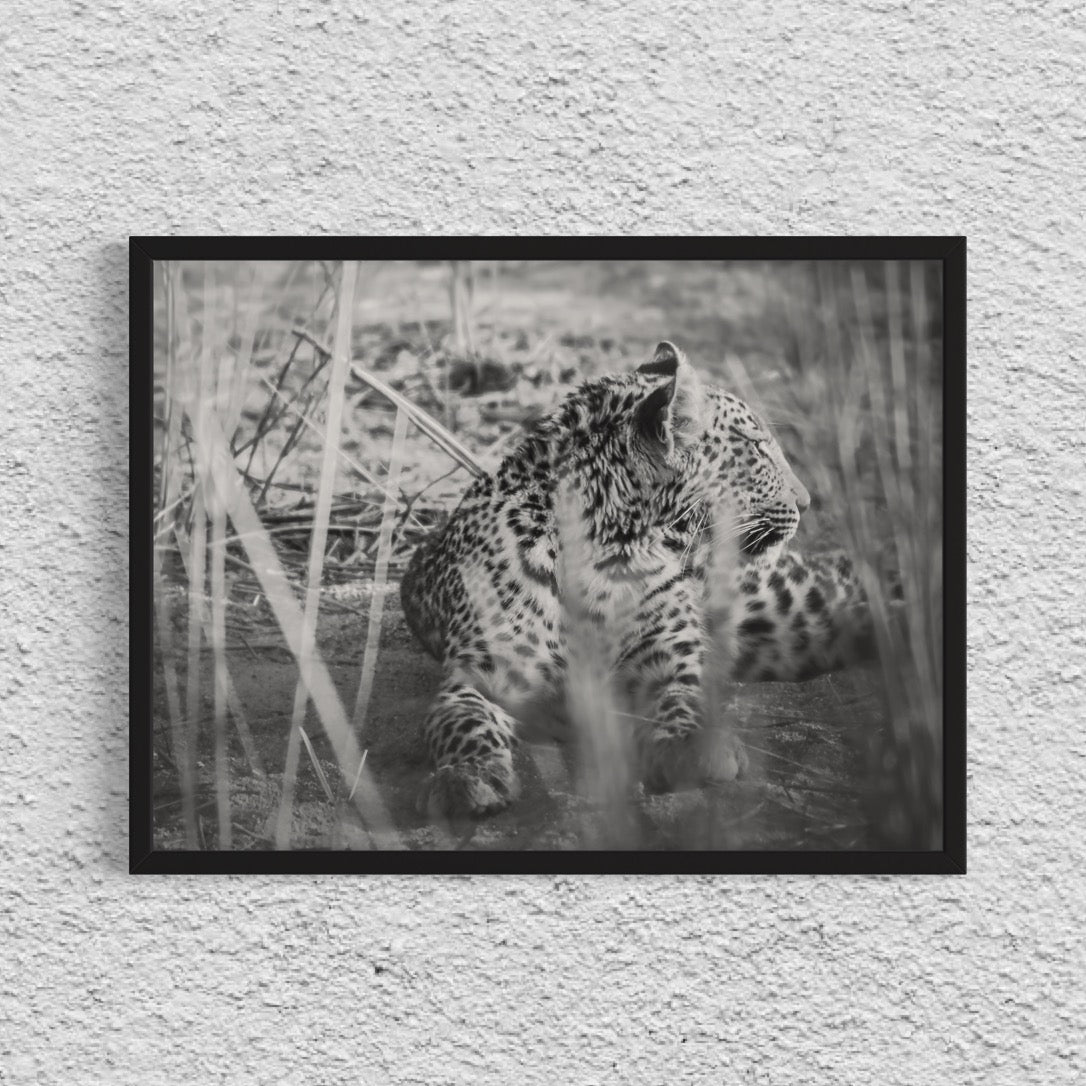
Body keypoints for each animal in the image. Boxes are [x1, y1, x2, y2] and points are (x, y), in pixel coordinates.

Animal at [401, 341, 875, 819]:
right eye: (758, 447)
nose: (807, 501)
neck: (605, 553)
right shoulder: (478, 679)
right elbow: (463, 723)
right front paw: (468, 776)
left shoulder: (670, 659)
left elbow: (683, 700)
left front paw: (692, 748)